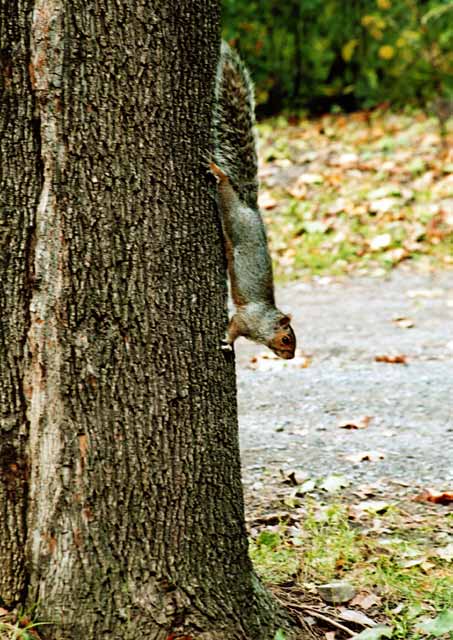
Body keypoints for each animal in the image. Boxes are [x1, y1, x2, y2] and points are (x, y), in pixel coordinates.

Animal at [210, 41, 294, 360]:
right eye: (287, 338)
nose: (291, 356)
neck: (266, 320)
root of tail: (251, 207)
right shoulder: (247, 319)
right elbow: (233, 327)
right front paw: (226, 342)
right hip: (231, 212)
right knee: (224, 189)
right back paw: (217, 172)